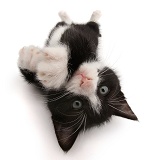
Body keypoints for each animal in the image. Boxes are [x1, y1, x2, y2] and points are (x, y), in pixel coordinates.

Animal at [17, 10, 138, 151]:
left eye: (77, 104)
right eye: (104, 90)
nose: (86, 81)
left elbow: (78, 41)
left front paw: (53, 68)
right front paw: (30, 59)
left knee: (89, 26)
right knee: (84, 25)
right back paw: (69, 16)